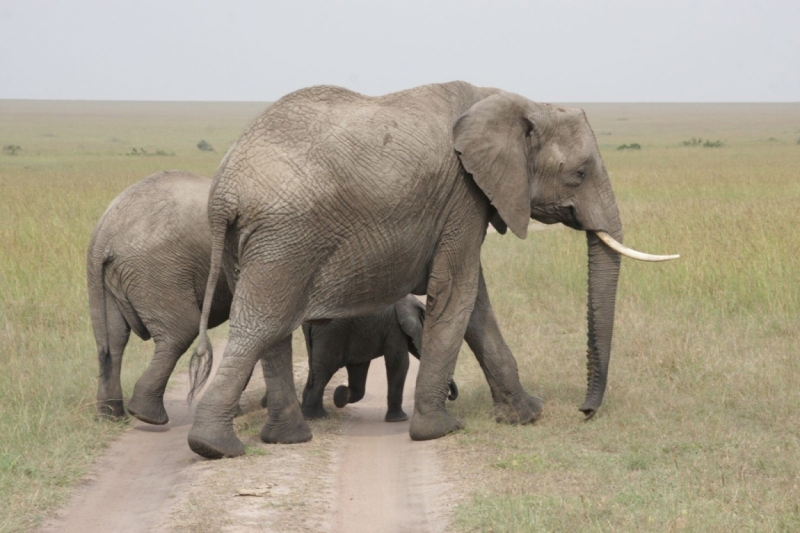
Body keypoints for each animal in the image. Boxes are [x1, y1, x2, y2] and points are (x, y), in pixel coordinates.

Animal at [302, 294, 462, 422]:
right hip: (330, 333)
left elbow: (359, 368)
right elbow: (399, 363)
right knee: (323, 371)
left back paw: (308, 414)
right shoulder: (395, 326)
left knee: (314, 371)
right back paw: (317, 416)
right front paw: (400, 419)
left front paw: (340, 395)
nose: (451, 396)